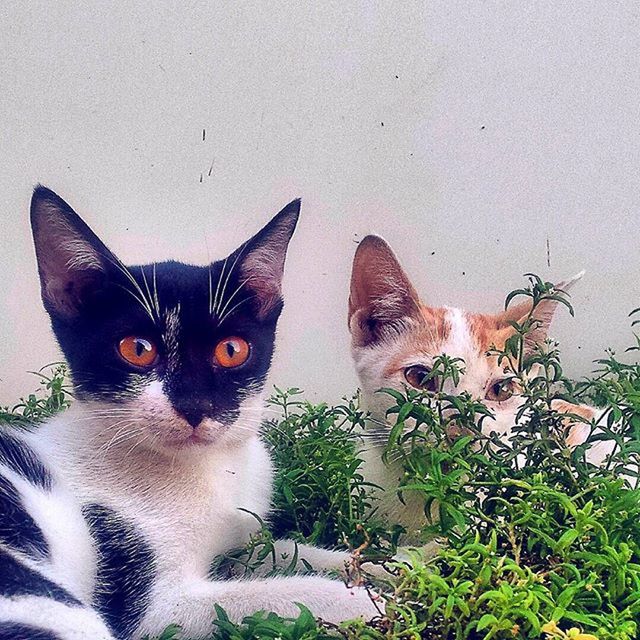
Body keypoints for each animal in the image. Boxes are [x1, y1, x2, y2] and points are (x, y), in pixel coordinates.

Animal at [0, 188, 378, 636]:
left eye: (232, 350)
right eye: (137, 349)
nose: (195, 405)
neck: (208, 467)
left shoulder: (241, 541)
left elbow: (288, 551)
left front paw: (400, 565)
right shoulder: (154, 610)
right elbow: (279, 593)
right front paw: (379, 601)